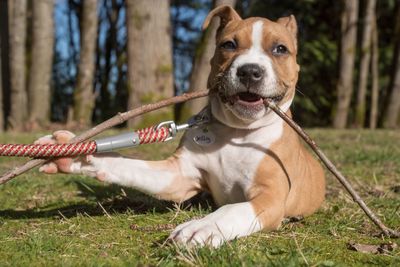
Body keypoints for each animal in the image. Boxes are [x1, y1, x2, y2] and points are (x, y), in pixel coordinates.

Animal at [36, 5, 324, 249]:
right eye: (229, 45)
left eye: (280, 49)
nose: (250, 71)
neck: (238, 131)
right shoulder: (179, 175)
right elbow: (128, 165)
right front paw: (76, 153)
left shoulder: (271, 196)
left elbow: (233, 209)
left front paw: (204, 227)